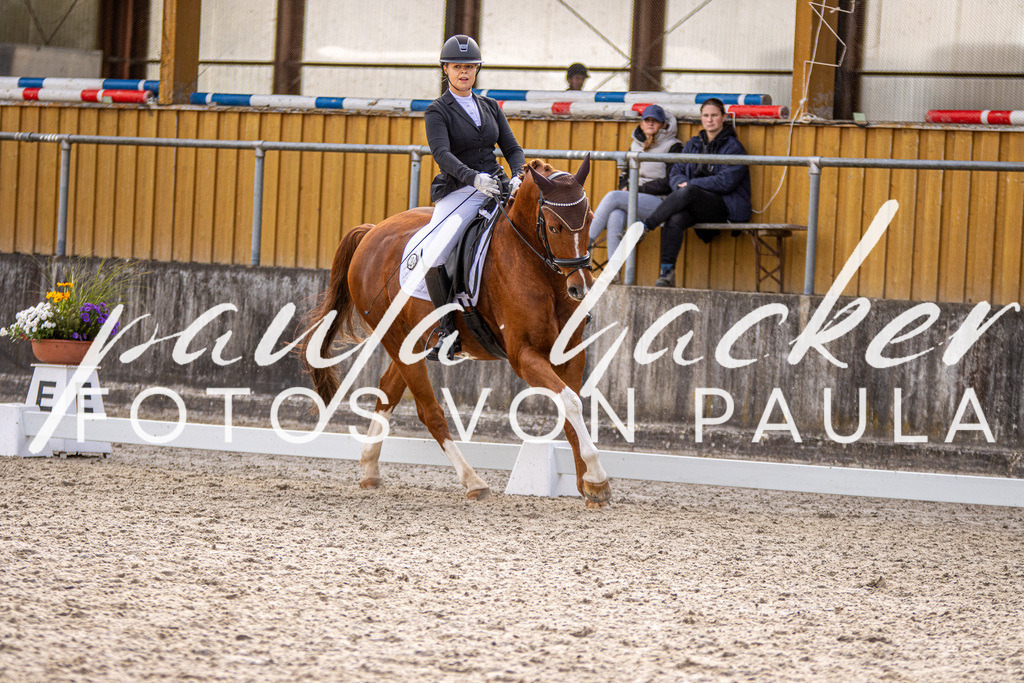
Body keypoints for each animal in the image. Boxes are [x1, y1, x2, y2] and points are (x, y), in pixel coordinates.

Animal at [300, 158, 612, 508]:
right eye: (555, 227)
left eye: (589, 220)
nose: (580, 288)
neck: (536, 267)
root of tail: (371, 233)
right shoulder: (524, 356)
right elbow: (570, 402)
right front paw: (597, 478)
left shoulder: (571, 351)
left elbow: (571, 407)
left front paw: (588, 486)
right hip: (394, 337)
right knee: (429, 412)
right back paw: (473, 481)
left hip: (410, 344)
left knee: (388, 390)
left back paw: (369, 469)